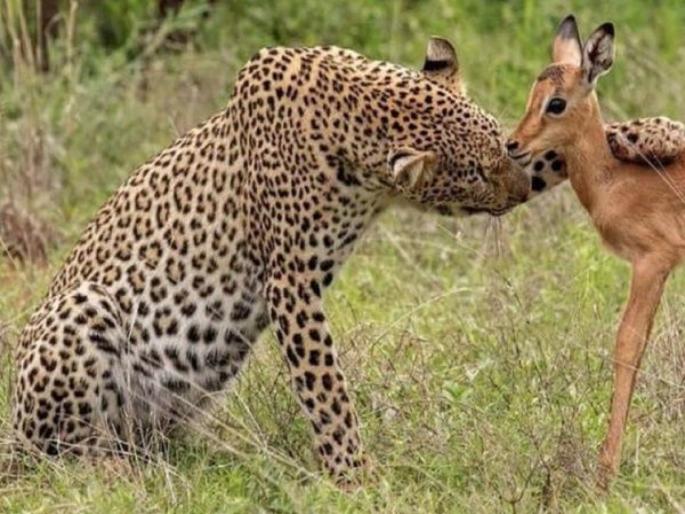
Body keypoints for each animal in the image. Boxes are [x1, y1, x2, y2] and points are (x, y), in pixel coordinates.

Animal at [507, 15, 685, 488]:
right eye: (532, 93)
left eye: (556, 102)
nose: (513, 144)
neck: (616, 182)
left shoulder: (652, 262)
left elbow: (627, 346)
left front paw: (606, 471)